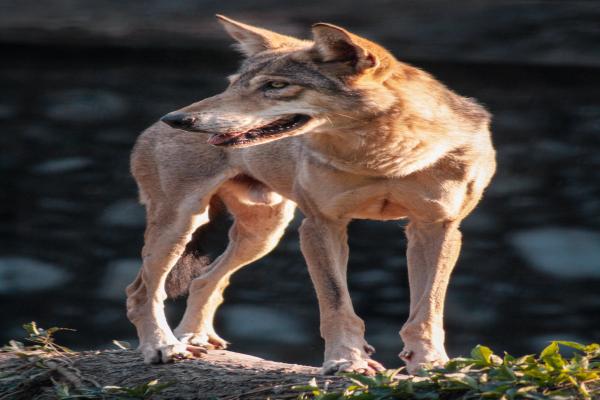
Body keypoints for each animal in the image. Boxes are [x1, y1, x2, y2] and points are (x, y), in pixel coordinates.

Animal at [125, 13, 496, 376]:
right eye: (233, 85)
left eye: (275, 86)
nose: (178, 120)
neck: (384, 159)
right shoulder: (321, 225)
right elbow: (336, 303)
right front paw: (346, 361)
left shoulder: (436, 227)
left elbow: (428, 308)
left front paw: (429, 362)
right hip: (182, 225)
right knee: (141, 291)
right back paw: (164, 346)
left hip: (263, 234)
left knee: (203, 281)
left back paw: (194, 338)